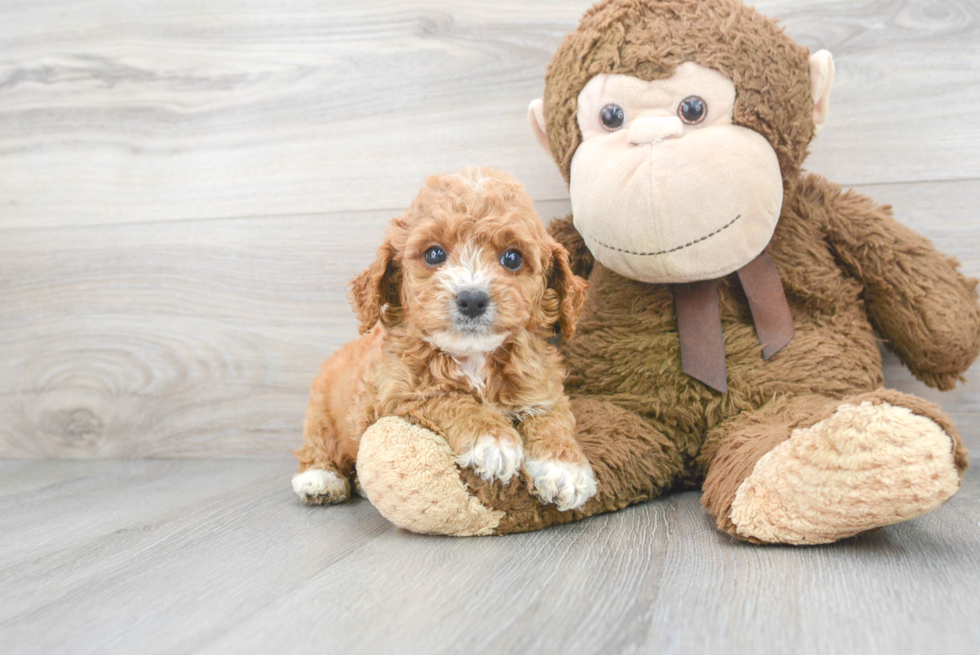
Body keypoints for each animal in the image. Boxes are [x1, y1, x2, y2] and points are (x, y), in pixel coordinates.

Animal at [290, 168, 596, 512]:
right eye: (434, 254)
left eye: (513, 258)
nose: (472, 299)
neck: (474, 358)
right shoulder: (396, 395)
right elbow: (448, 398)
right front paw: (493, 439)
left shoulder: (543, 386)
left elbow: (552, 417)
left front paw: (564, 468)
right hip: (320, 411)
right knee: (319, 446)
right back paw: (320, 480)